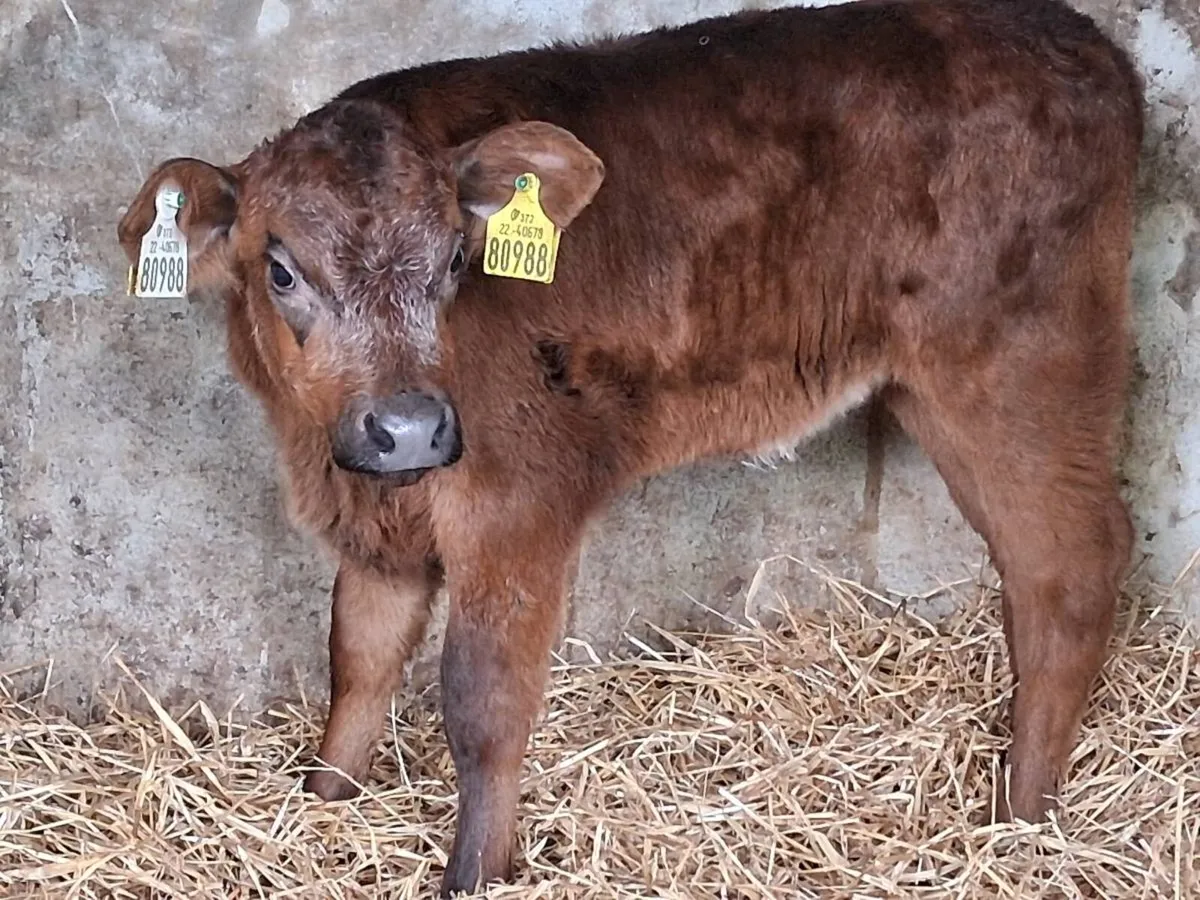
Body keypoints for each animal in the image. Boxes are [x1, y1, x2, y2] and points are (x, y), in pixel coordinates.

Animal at [116, 0, 1143, 893]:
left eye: (453, 259)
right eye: (280, 268)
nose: (408, 425)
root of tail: (1072, 34)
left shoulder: (517, 504)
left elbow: (482, 702)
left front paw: (474, 874)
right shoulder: (379, 519)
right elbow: (358, 663)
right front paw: (321, 804)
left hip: (1018, 366)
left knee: (1069, 568)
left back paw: (1021, 817)